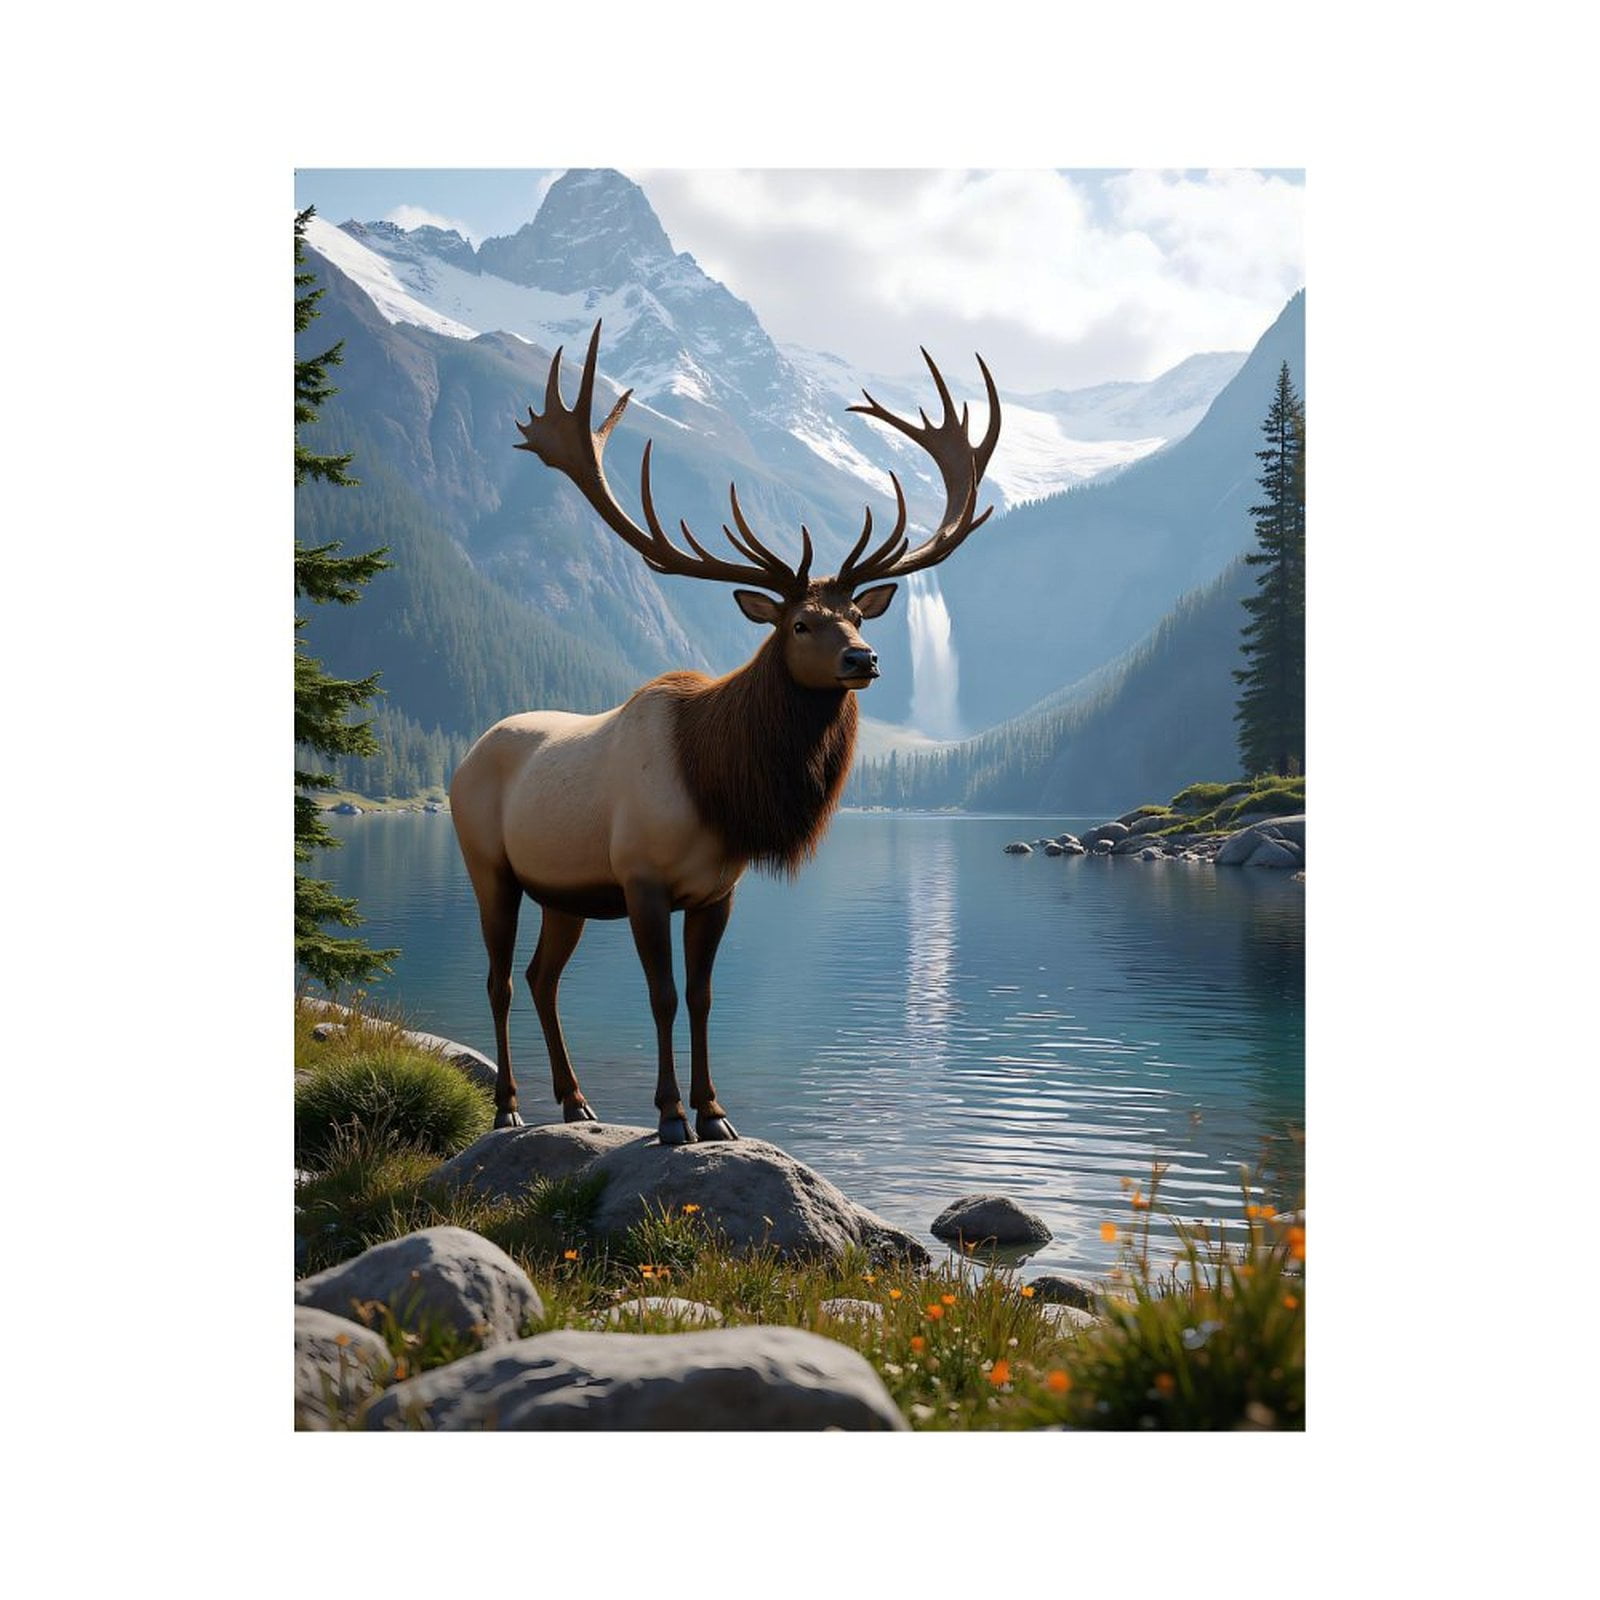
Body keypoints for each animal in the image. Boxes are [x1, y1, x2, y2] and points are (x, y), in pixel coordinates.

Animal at [450, 321, 1001, 1145]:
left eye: (858, 615)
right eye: (799, 623)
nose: (864, 659)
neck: (717, 785)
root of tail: (466, 756)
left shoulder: (717, 890)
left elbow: (705, 997)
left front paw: (714, 1112)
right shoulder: (641, 878)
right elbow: (663, 996)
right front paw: (671, 1115)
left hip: (562, 891)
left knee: (542, 977)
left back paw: (575, 1100)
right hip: (489, 865)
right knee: (497, 979)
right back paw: (510, 1106)